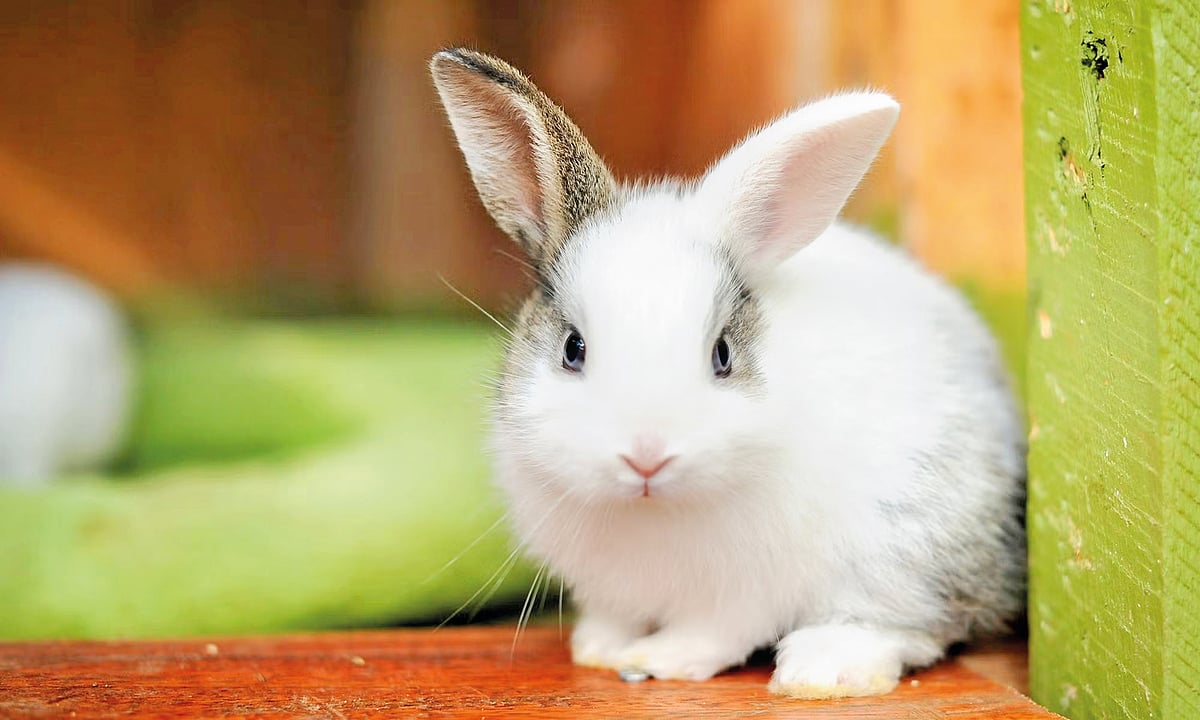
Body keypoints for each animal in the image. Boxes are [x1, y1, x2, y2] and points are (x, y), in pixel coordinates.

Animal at [431, 48, 1025, 698]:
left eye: (722, 355)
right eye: (573, 348)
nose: (646, 456)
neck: (652, 510)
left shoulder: (744, 594)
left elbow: (714, 634)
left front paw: (660, 659)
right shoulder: (611, 588)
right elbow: (615, 616)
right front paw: (598, 650)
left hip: (908, 543)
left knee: (913, 623)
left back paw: (821, 670)